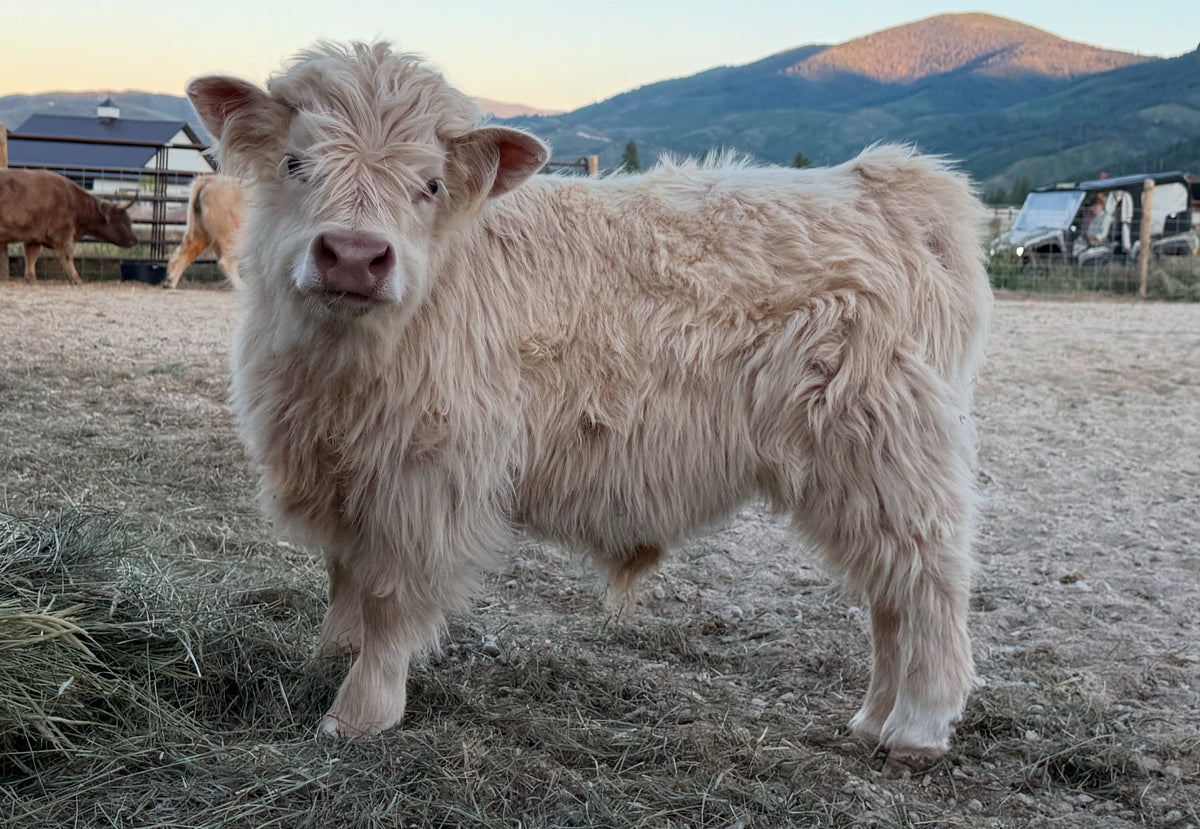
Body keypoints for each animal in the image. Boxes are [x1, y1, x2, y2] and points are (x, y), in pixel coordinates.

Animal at [0, 169, 138, 284]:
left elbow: (31, 256)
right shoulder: (63, 235)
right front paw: (77, 279)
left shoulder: (34, 236)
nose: (135, 240)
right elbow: (67, 256)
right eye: (124, 222)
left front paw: (31, 278)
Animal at [187, 41, 992, 775]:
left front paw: (358, 713)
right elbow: (344, 576)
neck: (340, 369)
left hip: (888, 453)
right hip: (863, 477)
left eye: (430, 184)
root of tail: (883, 182)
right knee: (889, 592)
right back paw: (872, 720)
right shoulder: (342, 470)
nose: (354, 255)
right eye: (296, 164)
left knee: (928, 583)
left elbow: (390, 597)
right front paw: (330, 655)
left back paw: (917, 728)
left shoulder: (427, 477)